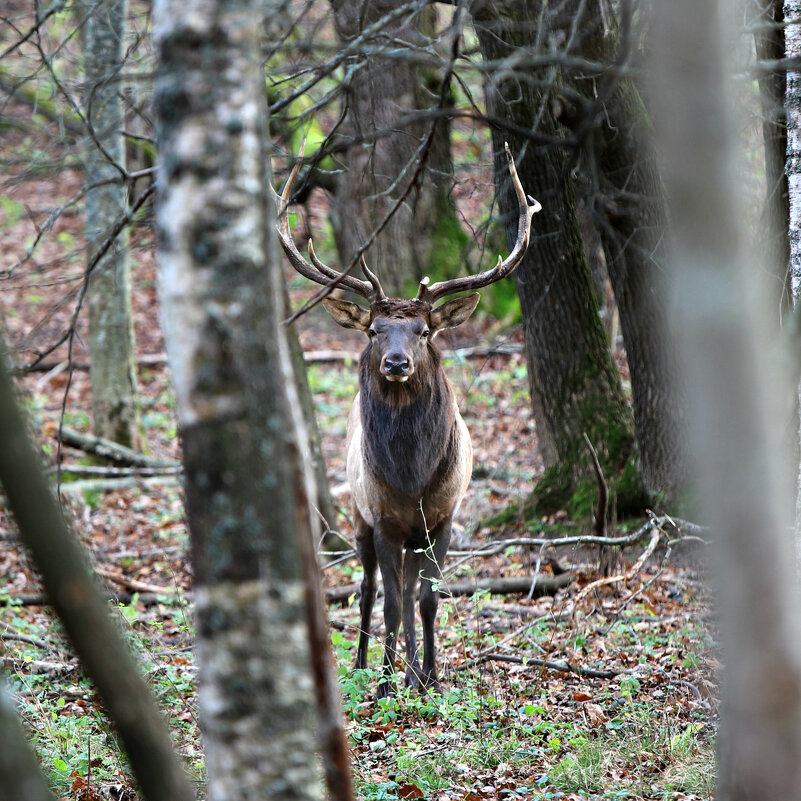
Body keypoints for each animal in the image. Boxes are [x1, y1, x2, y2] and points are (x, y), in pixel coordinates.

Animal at [276, 142, 544, 692]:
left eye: (423, 331)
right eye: (373, 329)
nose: (396, 363)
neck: (412, 477)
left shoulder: (444, 517)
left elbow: (427, 599)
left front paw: (431, 679)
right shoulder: (382, 518)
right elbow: (391, 603)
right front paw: (384, 683)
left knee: (407, 587)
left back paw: (413, 670)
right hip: (358, 515)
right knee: (367, 589)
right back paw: (365, 665)